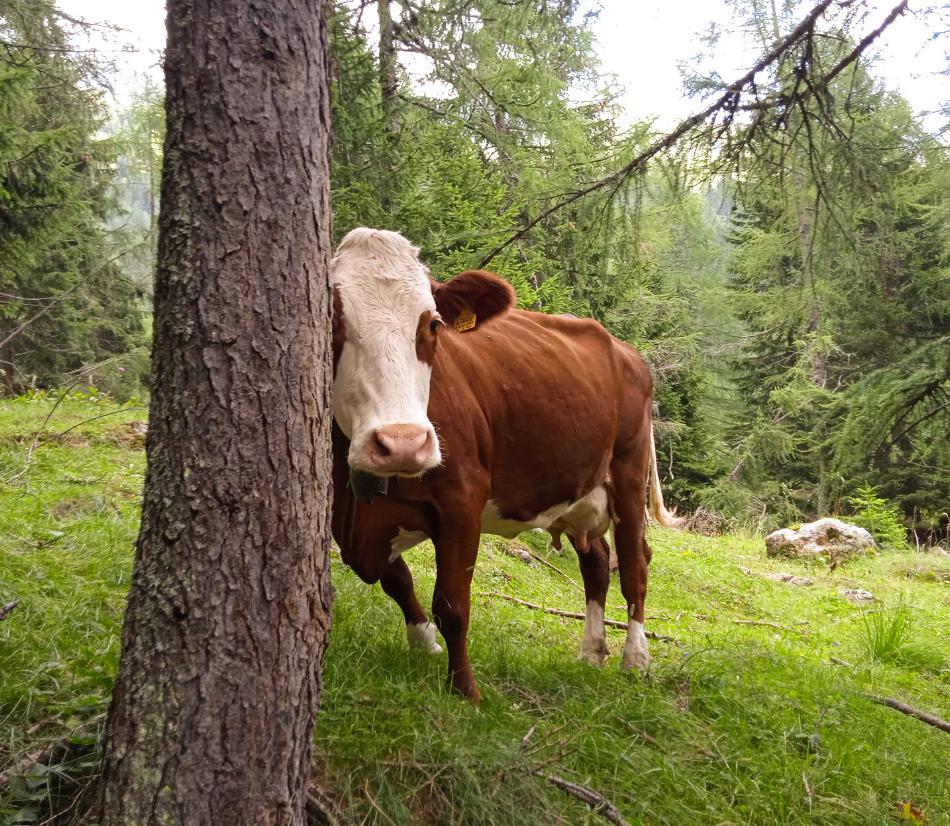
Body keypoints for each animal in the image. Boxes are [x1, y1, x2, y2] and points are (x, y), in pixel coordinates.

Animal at [330, 227, 680, 700]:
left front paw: (465, 690)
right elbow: (397, 580)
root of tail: (625, 349)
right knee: (596, 563)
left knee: (634, 564)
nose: (403, 443)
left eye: (433, 324)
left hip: (629, 469)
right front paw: (424, 643)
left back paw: (635, 658)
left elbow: (452, 603)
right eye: (333, 321)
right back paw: (592, 651)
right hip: (579, 491)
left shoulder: (462, 502)